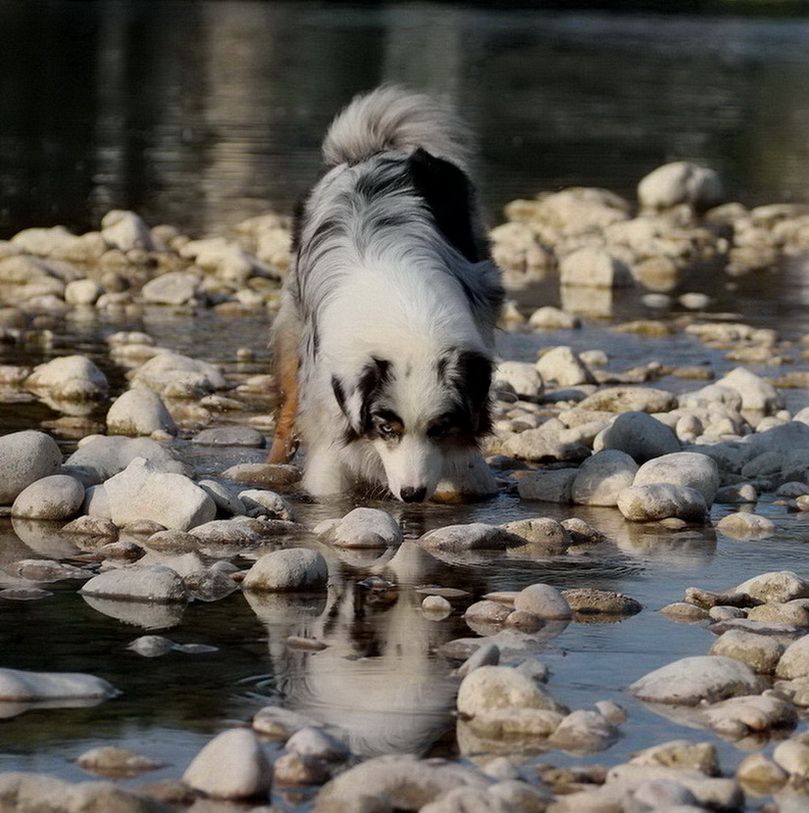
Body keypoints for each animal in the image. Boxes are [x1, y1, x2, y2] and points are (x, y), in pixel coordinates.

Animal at [268, 84, 502, 502]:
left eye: (438, 428)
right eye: (387, 428)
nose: (412, 494)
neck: (405, 322)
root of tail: (375, 149)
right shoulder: (330, 400)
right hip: (293, 325)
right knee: (288, 406)